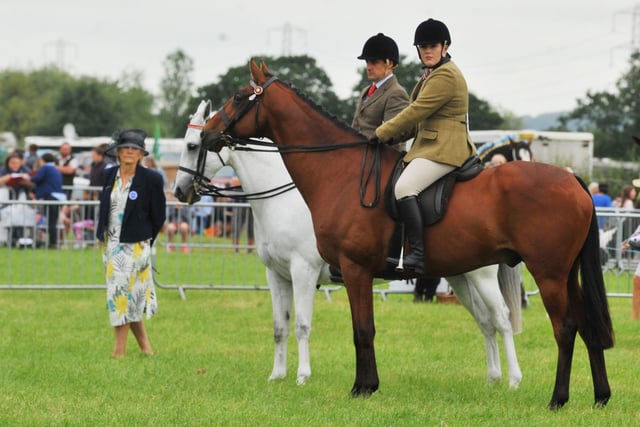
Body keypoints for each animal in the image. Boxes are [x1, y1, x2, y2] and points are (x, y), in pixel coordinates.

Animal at [172, 101, 524, 392]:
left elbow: (301, 325)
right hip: (459, 276)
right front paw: (277, 375)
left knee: (502, 319)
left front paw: (302, 376)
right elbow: (279, 327)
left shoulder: (303, 272)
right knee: (484, 321)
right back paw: (492, 378)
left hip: (480, 276)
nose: (179, 191)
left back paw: (512, 381)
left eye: (193, 146)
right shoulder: (277, 275)